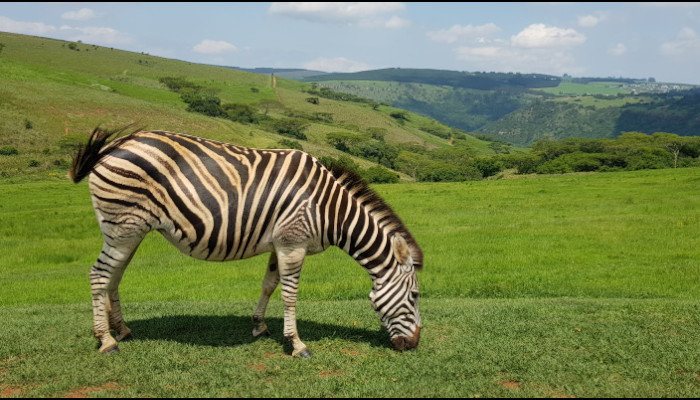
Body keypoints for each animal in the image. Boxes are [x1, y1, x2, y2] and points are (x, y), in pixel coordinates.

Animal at [69, 126, 422, 358]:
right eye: (416, 296)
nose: (415, 345)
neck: (330, 209)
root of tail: (115, 145)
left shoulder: (281, 244)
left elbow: (269, 284)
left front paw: (259, 326)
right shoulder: (293, 243)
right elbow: (290, 295)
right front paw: (297, 345)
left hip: (128, 231)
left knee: (113, 276)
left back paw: (122, 330)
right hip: (123, 227)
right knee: (99, 276)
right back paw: (106, 340)